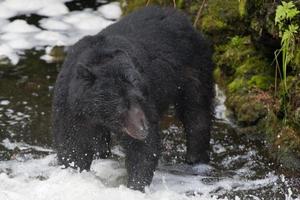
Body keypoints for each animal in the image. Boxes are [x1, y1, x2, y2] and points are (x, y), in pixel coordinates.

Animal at [52, 5, 214, 191]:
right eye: (122, 105)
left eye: (140, 98)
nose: (142, 129)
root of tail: (183, 18)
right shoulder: (70, 106)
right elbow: (72, 143)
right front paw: (74, 173)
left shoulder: (146, 98)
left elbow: (143, 148)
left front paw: (135, 186)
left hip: (193, 67)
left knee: (196, 111)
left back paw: (195, 159)